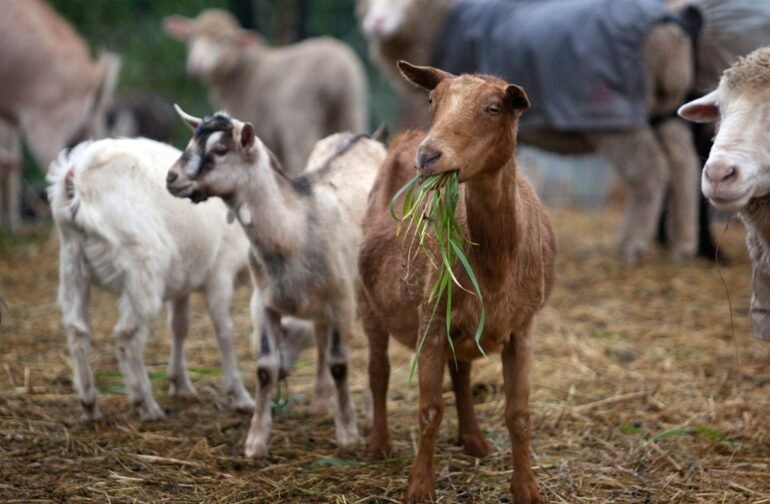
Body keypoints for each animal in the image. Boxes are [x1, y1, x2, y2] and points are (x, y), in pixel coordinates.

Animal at [49, 136, 256, 420]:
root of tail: (77, 176)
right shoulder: (219, 273)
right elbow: (224, 331)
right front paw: (241, 397)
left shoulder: (183, 279)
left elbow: (179, 326)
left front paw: (180, 384)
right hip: (141, 266)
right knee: (127, 335)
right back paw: (145, 404)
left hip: (72, 262)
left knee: (77, 330)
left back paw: (89, 404)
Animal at [164, 9, 368, 177]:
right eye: (192, 37)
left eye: (224, 40)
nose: (197, 65)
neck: (244, 71)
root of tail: (336, 71)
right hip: (350, 107)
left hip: (300, 118)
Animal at [166, 106, 384, 456]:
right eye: (191, 141)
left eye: (220, 150)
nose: (171, 178)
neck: (294, 229)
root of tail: (363, 136)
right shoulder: (263, 302)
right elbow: (266, 368)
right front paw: (256, 441)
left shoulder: (341, 299)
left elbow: (340, 363)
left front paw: (348, 434)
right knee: (320, 337)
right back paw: (319, 403)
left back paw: (368, 408)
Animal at [356, 63, 556, 504]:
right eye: (433, 100)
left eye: (494, 107)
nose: (428, 156)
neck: (496, 265)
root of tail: (404, 138)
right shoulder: (429, 320)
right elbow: (429, 409)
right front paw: (419, 486)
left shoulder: (523, 327)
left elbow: (518, 413)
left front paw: (526, 488)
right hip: (369, 305)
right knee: (378, 371)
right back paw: (378, 444)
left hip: (461, 327)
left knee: (461, 375)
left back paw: (473, 439)